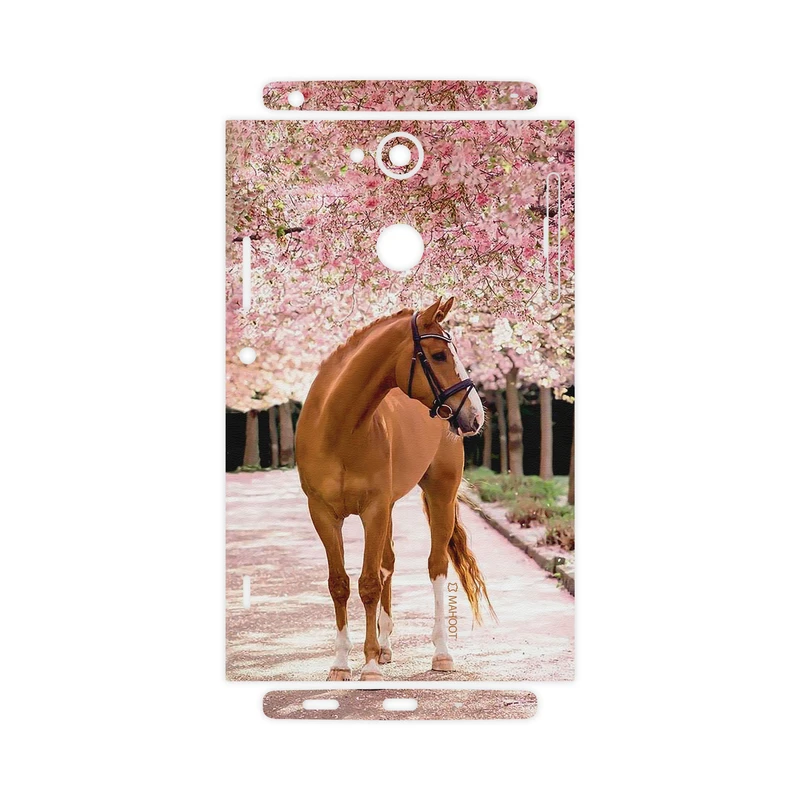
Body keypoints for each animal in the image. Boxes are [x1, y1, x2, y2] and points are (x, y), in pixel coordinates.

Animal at [295, 297, 494, 681]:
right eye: (438, 355)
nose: (475, 415)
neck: (338, 428)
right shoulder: (324, 514)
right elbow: (340, 584)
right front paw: (341, 664)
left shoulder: (373, 510)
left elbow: (368, 583)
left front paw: (370, 666)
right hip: (387, 508)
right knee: (388, 563)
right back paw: (386, 646)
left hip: (439, 494)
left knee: (436, 566)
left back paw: (441, 654)